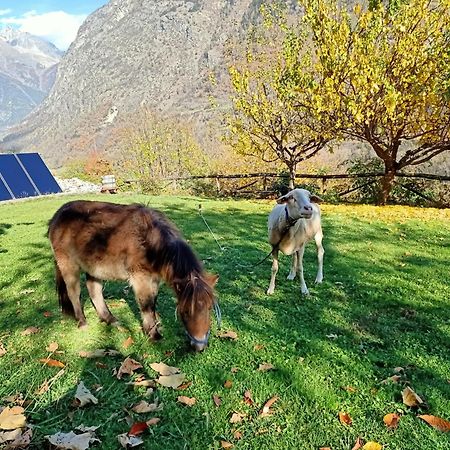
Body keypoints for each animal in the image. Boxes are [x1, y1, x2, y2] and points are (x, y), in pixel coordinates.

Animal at [47, 200, 220, 352]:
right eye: (184, 312)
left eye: (209, 308)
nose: (199, 347)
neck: (149, 241)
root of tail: (57, 216)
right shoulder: (141, 278)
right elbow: (146, 305)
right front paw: (153, 334)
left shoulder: (153, 279)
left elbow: (153, 303)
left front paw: (154, 328)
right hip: (68, 265)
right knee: (74, 293)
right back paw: (82, 322)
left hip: (93, 266)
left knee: (94, 290)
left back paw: (110, 319)